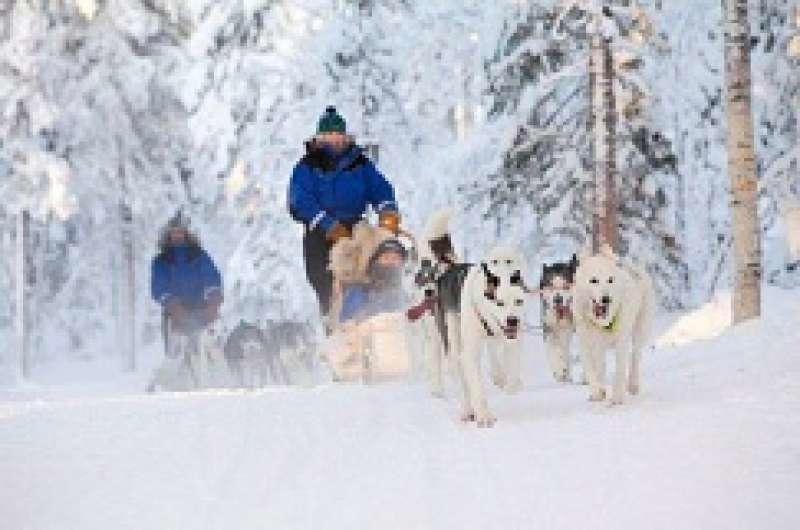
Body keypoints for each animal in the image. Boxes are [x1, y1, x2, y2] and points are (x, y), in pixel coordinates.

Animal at [460, 246, 528, 424]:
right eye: (499, 303)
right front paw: (484, 415)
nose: (512, 320)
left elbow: (512, 369)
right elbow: (476, 385)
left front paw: (511, 384)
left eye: (519, 301)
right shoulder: (470, 353)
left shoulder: (514, 341)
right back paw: (467, 409)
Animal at [576, 244, 656, 404]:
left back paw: (632, 384)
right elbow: (591, 370)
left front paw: (617, 397)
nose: (606, 299)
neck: (602, 323)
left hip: (640, 331)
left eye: (610, 280)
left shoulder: (621, 342)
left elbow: (619, 370)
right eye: (593, 280)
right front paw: (597, 391)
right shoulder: (586, 345)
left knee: (635, 356)